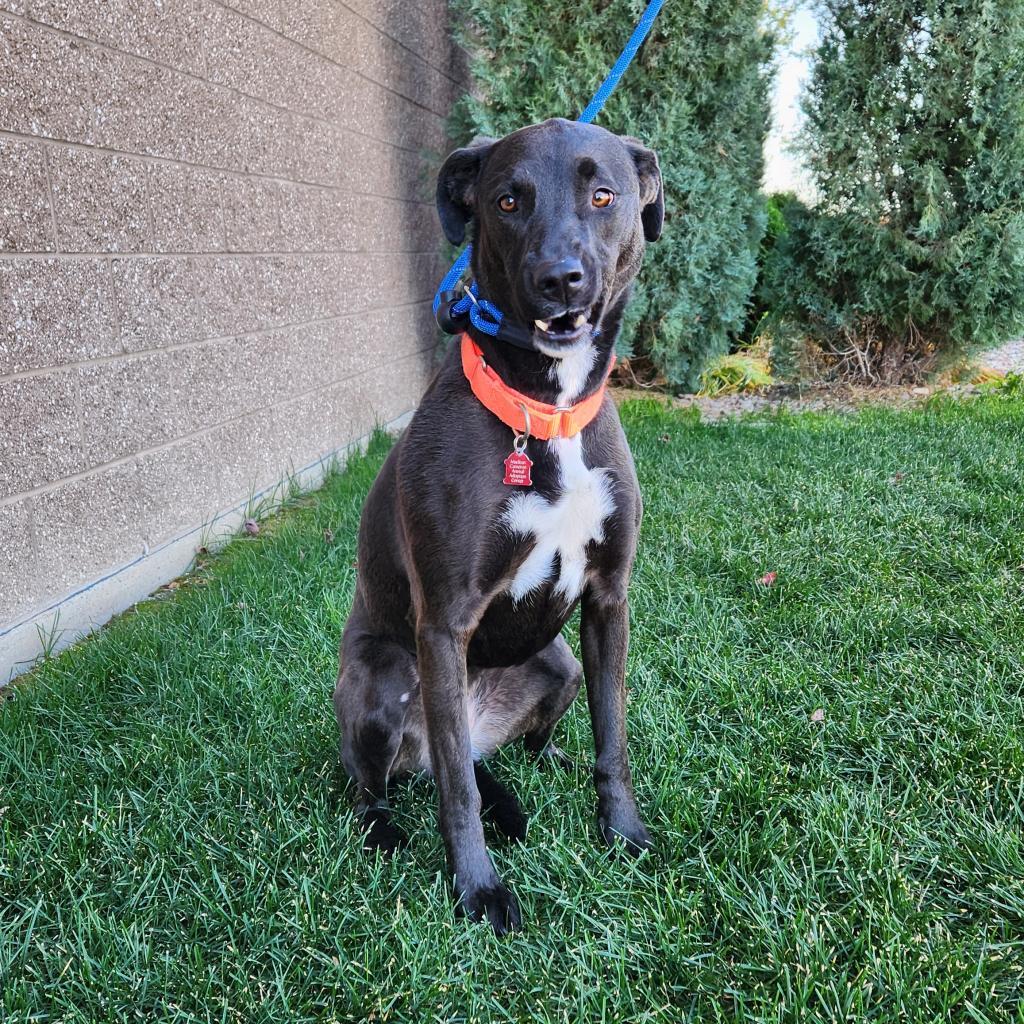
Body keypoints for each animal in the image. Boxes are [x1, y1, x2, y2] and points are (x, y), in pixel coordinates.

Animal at [331, 116, 659, 933]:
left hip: (559, 665)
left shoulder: (609, 600)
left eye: (603, 195)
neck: (546, 410)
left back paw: (548, 767)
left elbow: (614, 735)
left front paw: (623, 831)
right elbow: (457, 792)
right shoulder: (444, 622)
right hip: (385, 682)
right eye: (507, 201)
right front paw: (478, 889)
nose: (560, 278)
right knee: (396, 780)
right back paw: (385, 830)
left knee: (507, 755)